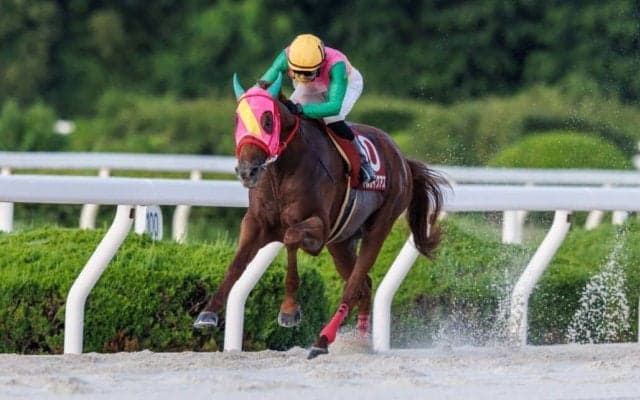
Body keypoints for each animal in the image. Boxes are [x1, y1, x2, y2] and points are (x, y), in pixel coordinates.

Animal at [194, 72, 446, 359]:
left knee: (353, 286)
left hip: (380, 224)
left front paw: (289, 311)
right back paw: (360, 341)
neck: (283, 171)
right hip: (341, 242)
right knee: (364, 284)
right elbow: (236, 264)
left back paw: (323, 340)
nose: (247, 171)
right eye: (237, 119)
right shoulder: (256, 223)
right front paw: (208, 313)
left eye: (268, 120)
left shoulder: (318, 230)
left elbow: (290, 238)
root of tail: (402, 159)